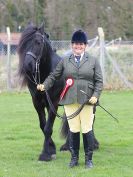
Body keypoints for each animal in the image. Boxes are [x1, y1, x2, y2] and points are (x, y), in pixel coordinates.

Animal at [17, 23, 98, 162]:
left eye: (38, 42)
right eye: (23, 44)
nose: (27, 65)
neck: (46, 74)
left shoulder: (53, 103)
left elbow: (48, 128)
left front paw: (45, 154)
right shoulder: (37, 103)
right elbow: (43, 126)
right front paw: (51, 148)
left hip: (90, 101)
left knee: (90, 120)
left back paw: (94, 144)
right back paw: (67, 146)